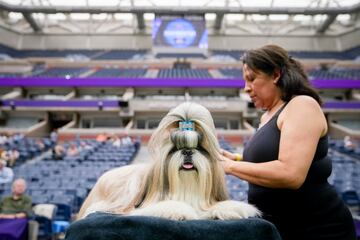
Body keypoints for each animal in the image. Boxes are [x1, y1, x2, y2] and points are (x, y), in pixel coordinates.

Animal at [77, 102, 260, 220]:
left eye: (198, 147)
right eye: (174, 149)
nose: (187, 151)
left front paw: (234, 209)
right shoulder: (147, 206)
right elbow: (169, 205)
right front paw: (181, 211)